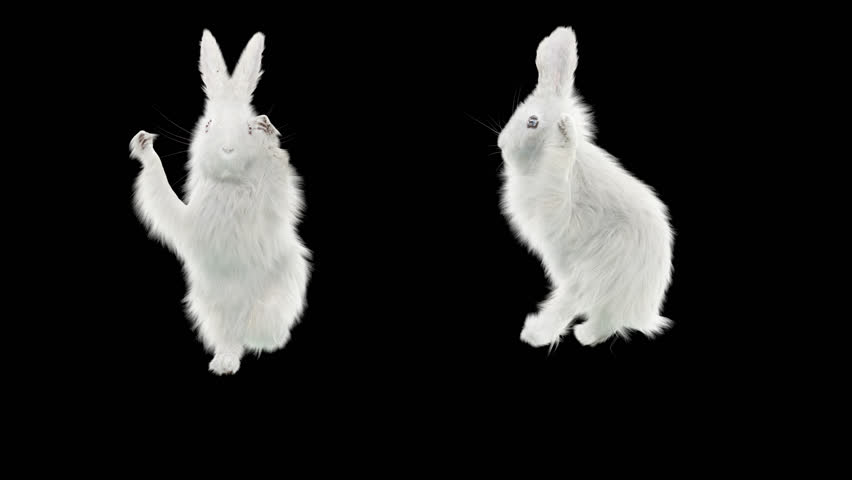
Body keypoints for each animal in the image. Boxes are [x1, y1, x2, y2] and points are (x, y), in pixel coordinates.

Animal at [129, 30, 310, 374]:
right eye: (208, 125)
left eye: (248, 129)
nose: (227, 150)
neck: (229, 185)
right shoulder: (186, 219)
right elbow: (160, 190)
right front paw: (143, 143)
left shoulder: (275, 202)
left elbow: (279, 175)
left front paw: (269, 133)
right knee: (230, 337)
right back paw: (225, 362)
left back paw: (266, 342)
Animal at [498, 27, 674, 348]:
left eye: (532, 122)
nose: (501, 145)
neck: (540, 161)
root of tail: (645, 308)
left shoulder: (560, 207)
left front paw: (565, 137)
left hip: (595, 270)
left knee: (584, 308)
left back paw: (542, 334)